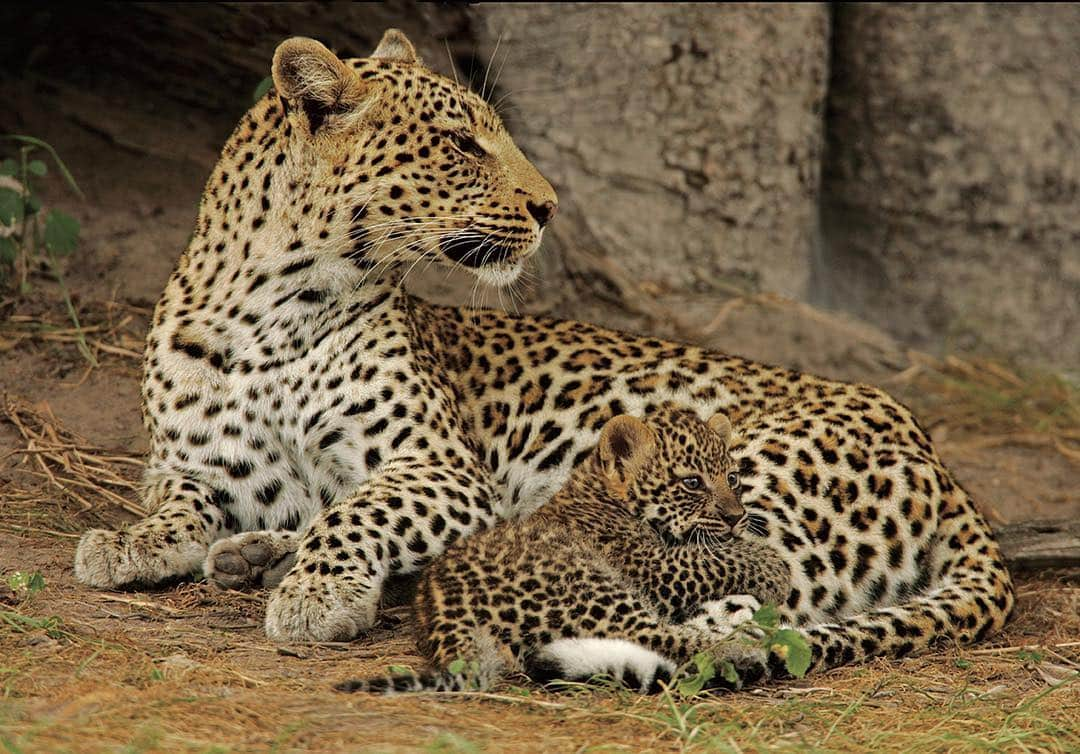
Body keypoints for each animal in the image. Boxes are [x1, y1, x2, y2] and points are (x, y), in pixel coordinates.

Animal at [73, 29, 1010, 678]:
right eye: (460, 144)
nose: (550, 206)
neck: (270, 309)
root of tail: (943, 468)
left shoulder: (442, 470)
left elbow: (357, 509)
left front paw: (319, 590)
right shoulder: (189, 465)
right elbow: (179, 503)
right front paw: (135, 542)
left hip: (748, 476)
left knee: (744, 599)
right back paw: (254, 557)